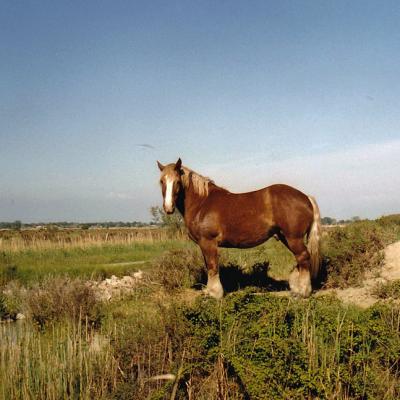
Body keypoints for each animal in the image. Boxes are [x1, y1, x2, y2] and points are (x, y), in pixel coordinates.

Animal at [157, 158, 322, 298]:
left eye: (177, 181)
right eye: (161, 181)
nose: (168, 208)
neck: (202, 203)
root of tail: (306, 197)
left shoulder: (208, 242)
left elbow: (212, 266)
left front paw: (215, 293)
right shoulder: (203, 244)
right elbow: (208, 266)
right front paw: (209, 291)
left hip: (293, 238)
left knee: (303, 257)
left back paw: (303, 291)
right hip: (285, 237)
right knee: (300, 259)